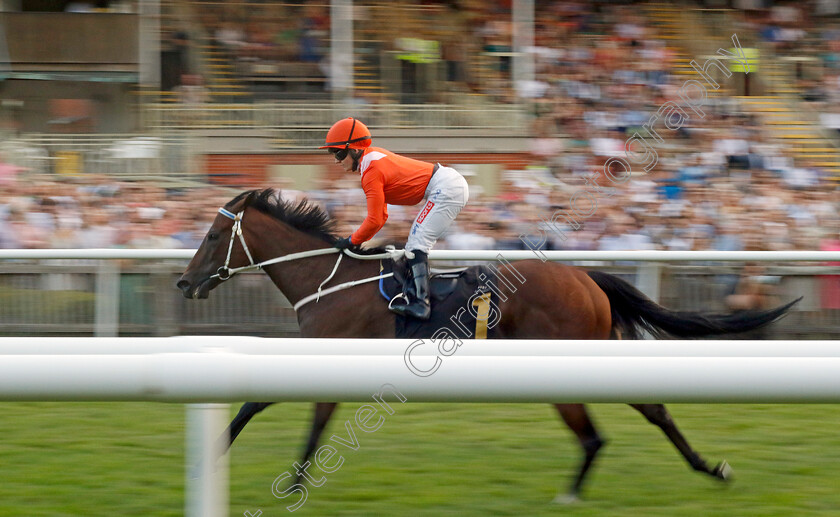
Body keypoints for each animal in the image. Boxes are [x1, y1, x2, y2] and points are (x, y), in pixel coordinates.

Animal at [174, 189, 796, 500]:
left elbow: (289, 415)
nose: (184, 282)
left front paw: (266, 476)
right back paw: (711, 469)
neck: (328, 281)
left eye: (212, 235)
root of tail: (587, 277)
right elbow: (272, 406)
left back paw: (573, 495)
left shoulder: (329, 360)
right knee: (650, 411)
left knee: (594, 435)